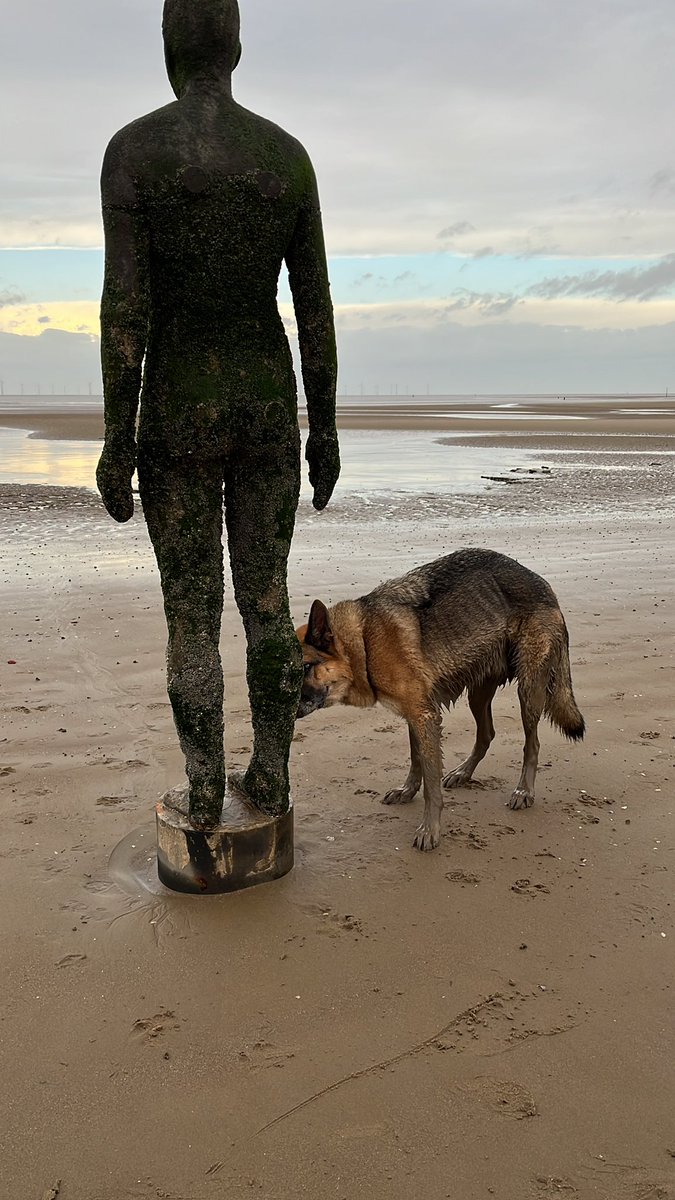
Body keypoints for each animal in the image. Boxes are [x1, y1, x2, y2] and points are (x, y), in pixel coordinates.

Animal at [294, 549, 583, 849]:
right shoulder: (415, 715)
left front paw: (430, 828)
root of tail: (545, 587)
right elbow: (416, 759)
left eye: (305, 668)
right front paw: (408, 790)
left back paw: (524, 790)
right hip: (478, 695)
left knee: (532, 743)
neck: (363, 641)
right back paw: (463, 773)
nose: (290, 710)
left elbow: (431, 782)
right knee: (486, 734)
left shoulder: (425, 717)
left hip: (528, 692)